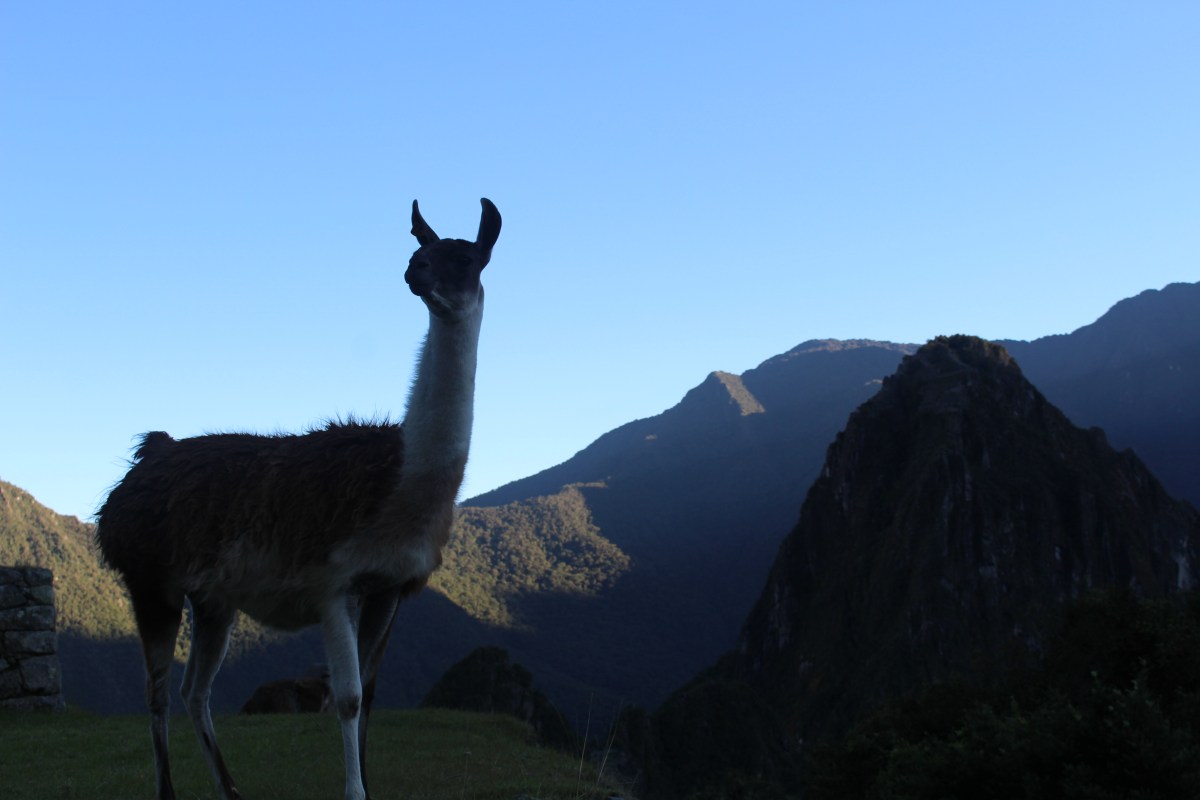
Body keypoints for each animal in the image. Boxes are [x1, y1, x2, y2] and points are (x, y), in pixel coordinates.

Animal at [95, 198, 501, 800]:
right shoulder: (334, 583)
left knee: (196, 691)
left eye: (467, 258)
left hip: (212, 599)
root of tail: (149, 457)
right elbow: (348, 698)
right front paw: (354, 791)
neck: (399, 483)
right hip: (150, 581)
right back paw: (168, 790)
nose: (415, 269)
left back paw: (231, 789)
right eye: (421, 249)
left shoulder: (389, 587)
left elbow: (371, 694)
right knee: (158, 693)